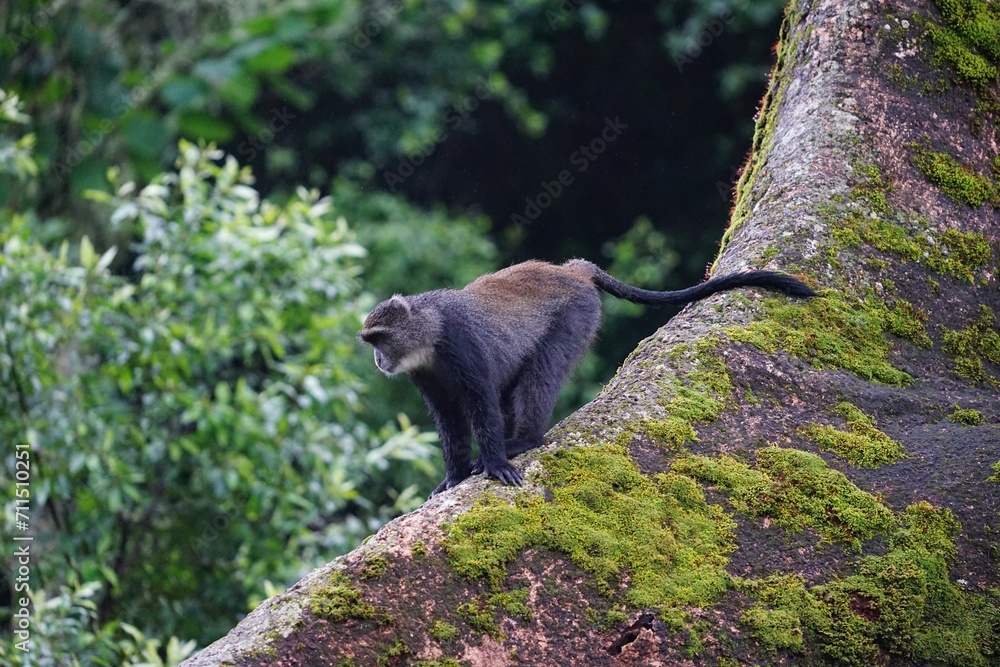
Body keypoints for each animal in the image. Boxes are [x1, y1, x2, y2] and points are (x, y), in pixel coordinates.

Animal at [358, 259, 816, 496]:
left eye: (379, 338)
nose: (378, 360)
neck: (428, 330)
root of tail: (571, 271)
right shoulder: (426, 374)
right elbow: (449, 420)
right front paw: (453, 477)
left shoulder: (458, 344)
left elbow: (481, 401)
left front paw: (494, 463)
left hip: (575, 318)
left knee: (539, 377)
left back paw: (524, 440)